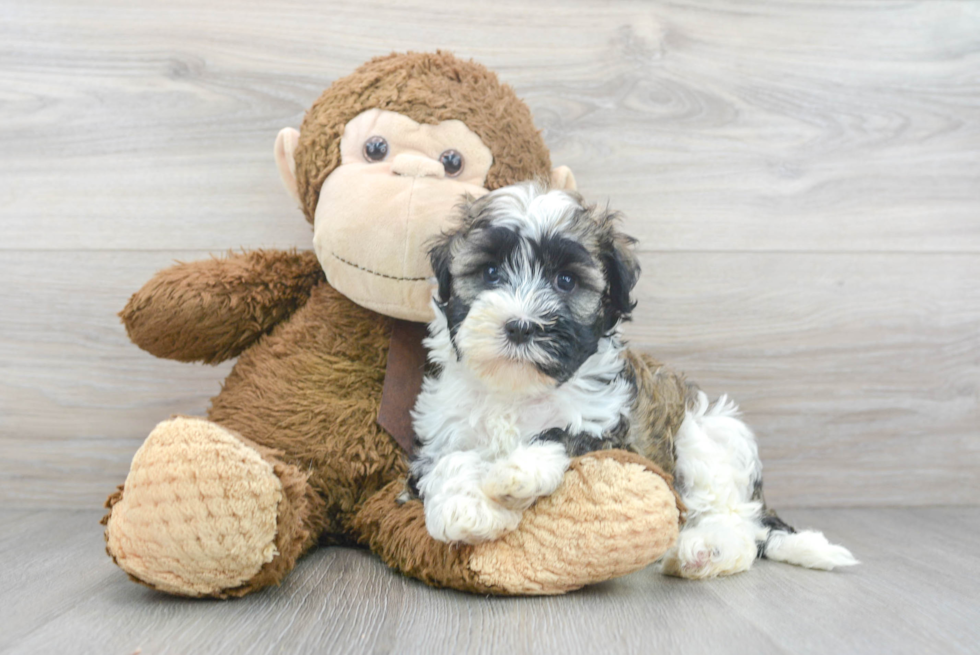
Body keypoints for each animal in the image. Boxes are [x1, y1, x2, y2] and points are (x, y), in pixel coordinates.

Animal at [408, 183, 856, 580]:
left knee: (738, 523)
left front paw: (517, 471)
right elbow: (448, 460)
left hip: (707, 434)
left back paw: (703, 550)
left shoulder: (618, 438)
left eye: (565, 282)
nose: (520, 326)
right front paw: (463, 507)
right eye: (489, 272)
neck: (518, 390)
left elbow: (565, 434)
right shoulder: (437, 432)